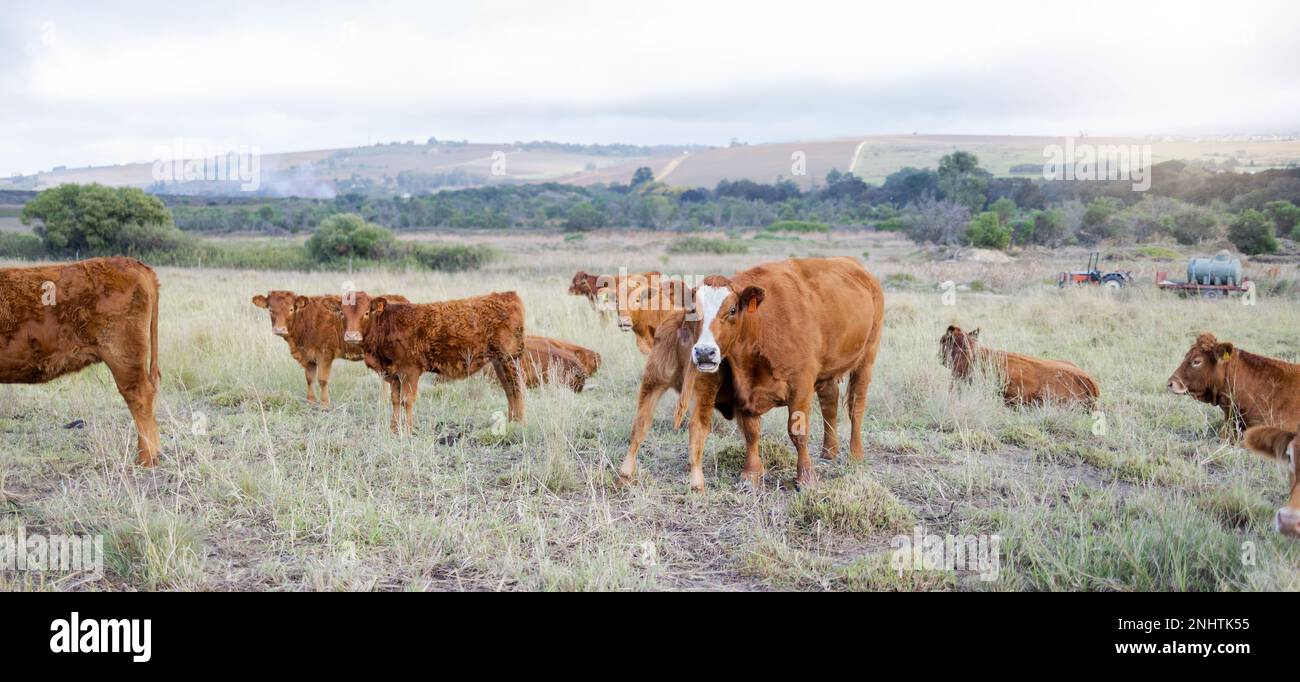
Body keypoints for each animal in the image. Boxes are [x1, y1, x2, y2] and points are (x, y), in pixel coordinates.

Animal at [252, 291, 409, 408]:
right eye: (270, 310)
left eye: (291, 309)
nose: (279, 329)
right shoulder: (309, 357)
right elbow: (309, 378)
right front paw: (310, 401)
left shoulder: (325, 354)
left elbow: (322, 379)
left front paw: (324, 404)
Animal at [335, 291, 526, 432]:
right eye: (343, 314)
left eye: (366, 313)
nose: (351, 336)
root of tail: (506, 295)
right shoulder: (394, 374)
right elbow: (395, 400)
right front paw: (394, 429)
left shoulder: (410, 371)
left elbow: (407, 400)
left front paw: (408, 430)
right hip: (498, 361)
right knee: (509, 390)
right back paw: (512, 421)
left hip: (509, 359)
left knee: (517, 388)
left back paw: (520, 423)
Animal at [672, 257, 885, 491]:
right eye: (692, 311)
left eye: (733, 310)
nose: (704, 352)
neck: (760, 326)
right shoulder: (745, 391)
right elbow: (751, 432)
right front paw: (750, 475)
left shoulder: (801, 386)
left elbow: (798, 432)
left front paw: (806, 477)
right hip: (827, 370)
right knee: (829, 402)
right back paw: (829, 452)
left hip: (867, 356)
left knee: (856, 406)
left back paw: (856, 454)